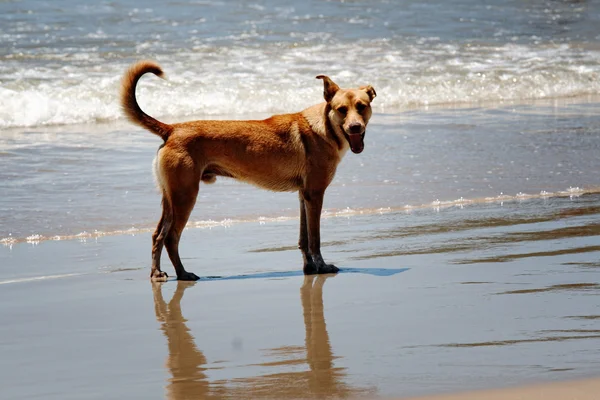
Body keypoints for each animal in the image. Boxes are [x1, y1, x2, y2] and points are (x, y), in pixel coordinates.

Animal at [120, 61, 376, 282]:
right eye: (341, 110)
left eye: (361, 107)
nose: (355, 127)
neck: (325, 128)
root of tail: (172, 129)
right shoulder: (315, 194)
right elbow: (315, 239)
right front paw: (321, 267)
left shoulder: (304, 195)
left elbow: (303, 239)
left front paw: (309, 268)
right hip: (185, 196)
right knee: (171, 237)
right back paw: (183, 273)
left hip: (171, 197)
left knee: (158, 235)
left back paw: (156, 273)